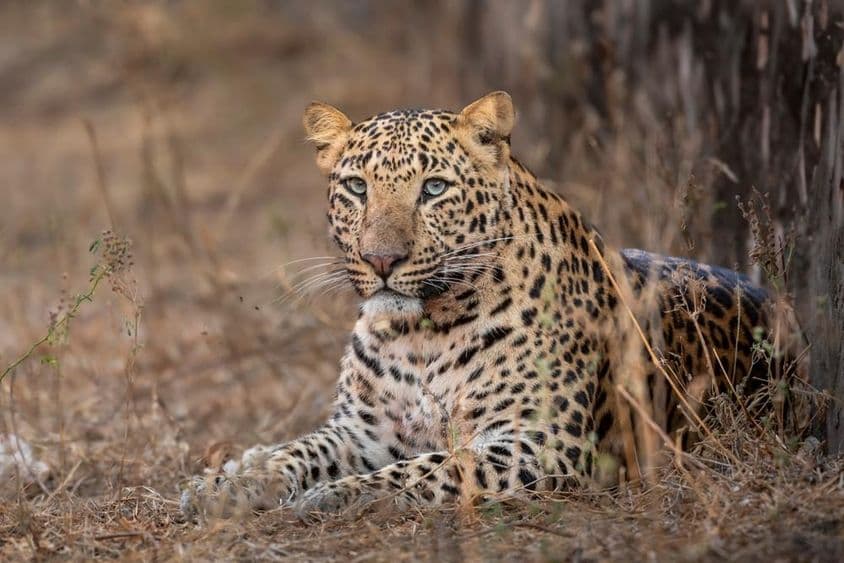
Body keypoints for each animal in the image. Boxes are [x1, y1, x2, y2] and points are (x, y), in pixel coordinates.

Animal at [180, 91, 805, 521]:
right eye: (357, 188)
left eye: (433, 189)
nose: (382, 259)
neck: (419, 334)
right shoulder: (362, 432)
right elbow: (295, 453)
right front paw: (229, 487)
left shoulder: (538, 442)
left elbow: (425, 469)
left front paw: (331, 496)